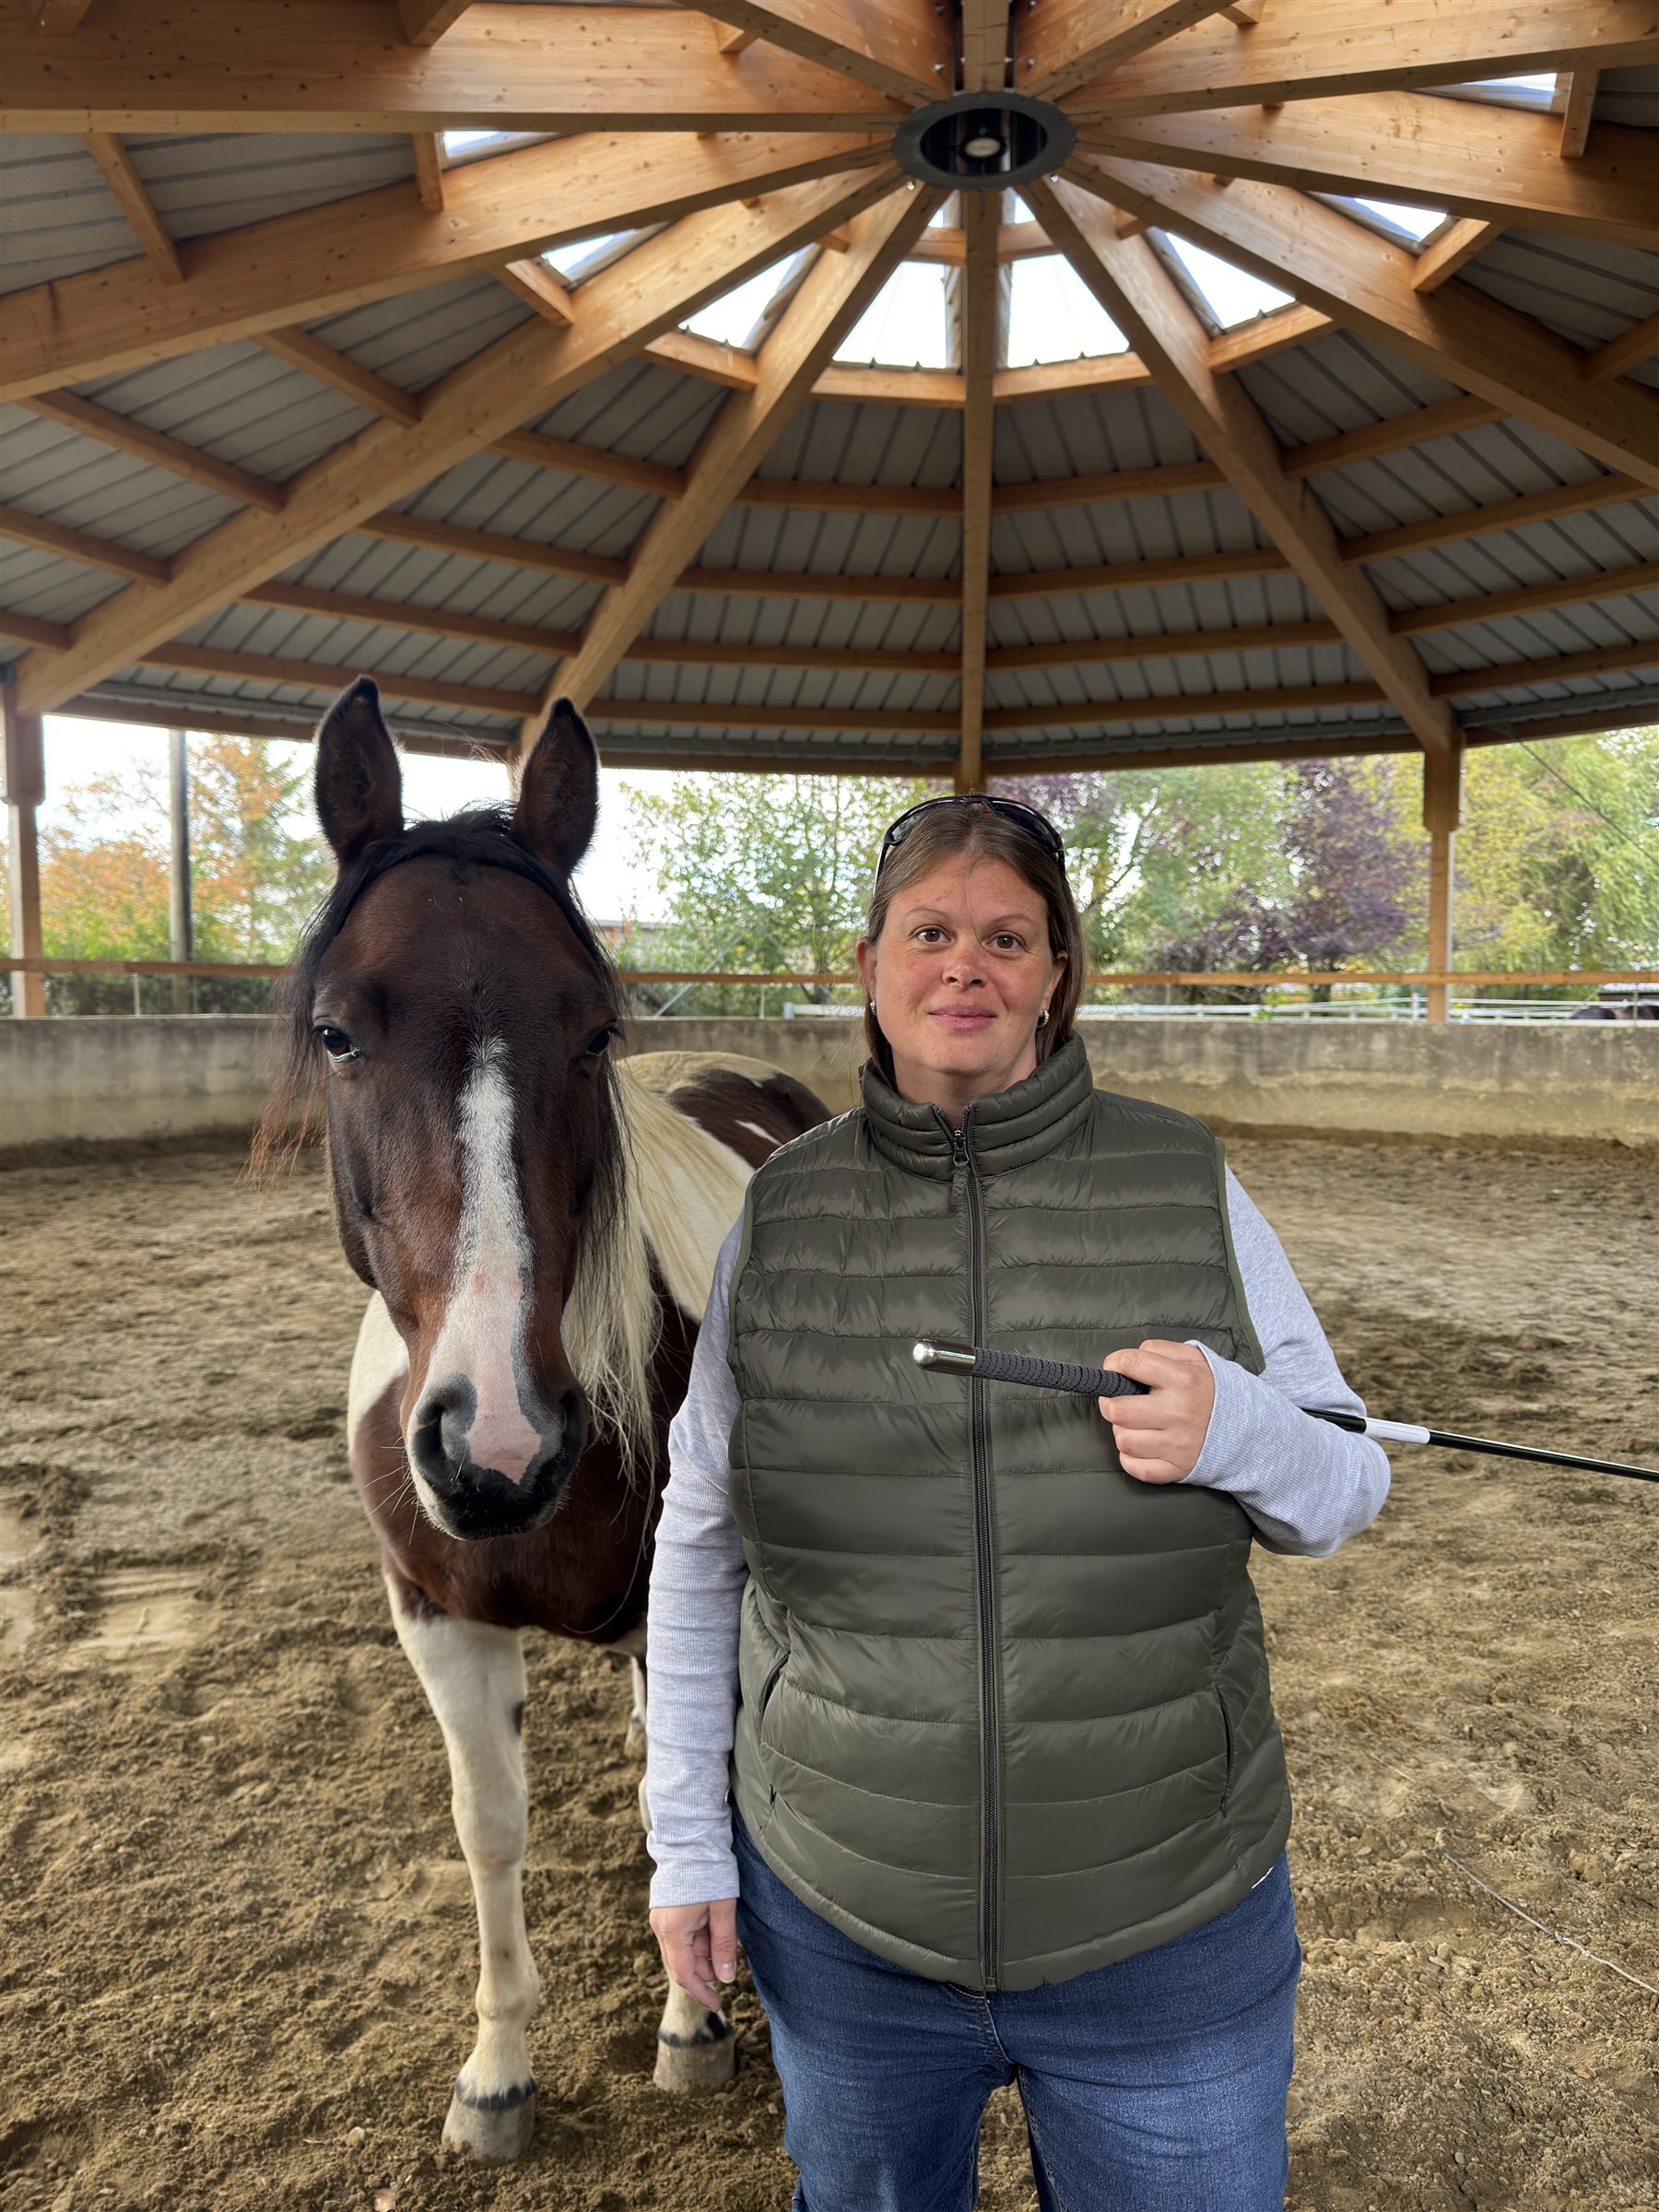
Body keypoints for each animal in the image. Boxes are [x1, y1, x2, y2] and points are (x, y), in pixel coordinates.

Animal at [258, 676, 830, 2161]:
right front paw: (497, 2074)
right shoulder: (436, 1617)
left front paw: (695, 2026)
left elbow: (682, 1807)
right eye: (338, 1031)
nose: (499, 1450)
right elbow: (492, 1828)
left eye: (591, 1031)